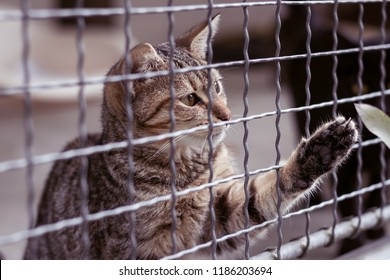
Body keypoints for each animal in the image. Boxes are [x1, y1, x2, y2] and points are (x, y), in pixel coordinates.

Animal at [23, 14, 360, 260]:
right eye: (190, 99)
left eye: (218, 87)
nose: (227, 115)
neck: (187, 170)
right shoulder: (137, 248)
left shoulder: (221, 214)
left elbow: (267, 192)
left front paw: (321, 151)